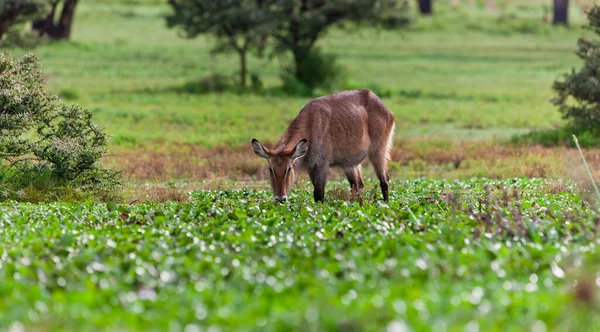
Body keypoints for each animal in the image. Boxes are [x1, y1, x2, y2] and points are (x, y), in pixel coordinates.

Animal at [252, 89, 396, 202]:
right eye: (270, 169)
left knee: (384, 179)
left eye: (289, 169)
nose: (280, 198)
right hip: (350, 163)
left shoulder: (322, 165)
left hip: (378, 151)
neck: (310, 122)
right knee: (357, 185)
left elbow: (319, 195)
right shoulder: (312, 167)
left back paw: (385, 204)